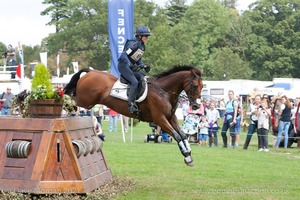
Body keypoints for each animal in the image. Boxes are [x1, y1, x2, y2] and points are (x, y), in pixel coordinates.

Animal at [64, 65, 203, 166]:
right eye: (195, 85)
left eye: (202, 86)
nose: (196, 106)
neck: (164, 91)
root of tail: (90, 72)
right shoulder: (160, 119)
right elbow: (177, 136)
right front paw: (187, 155)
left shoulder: (170, 117)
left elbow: (183, 135)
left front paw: (188, 154)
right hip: (83, 101)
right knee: (69, 101)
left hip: (87, 102)